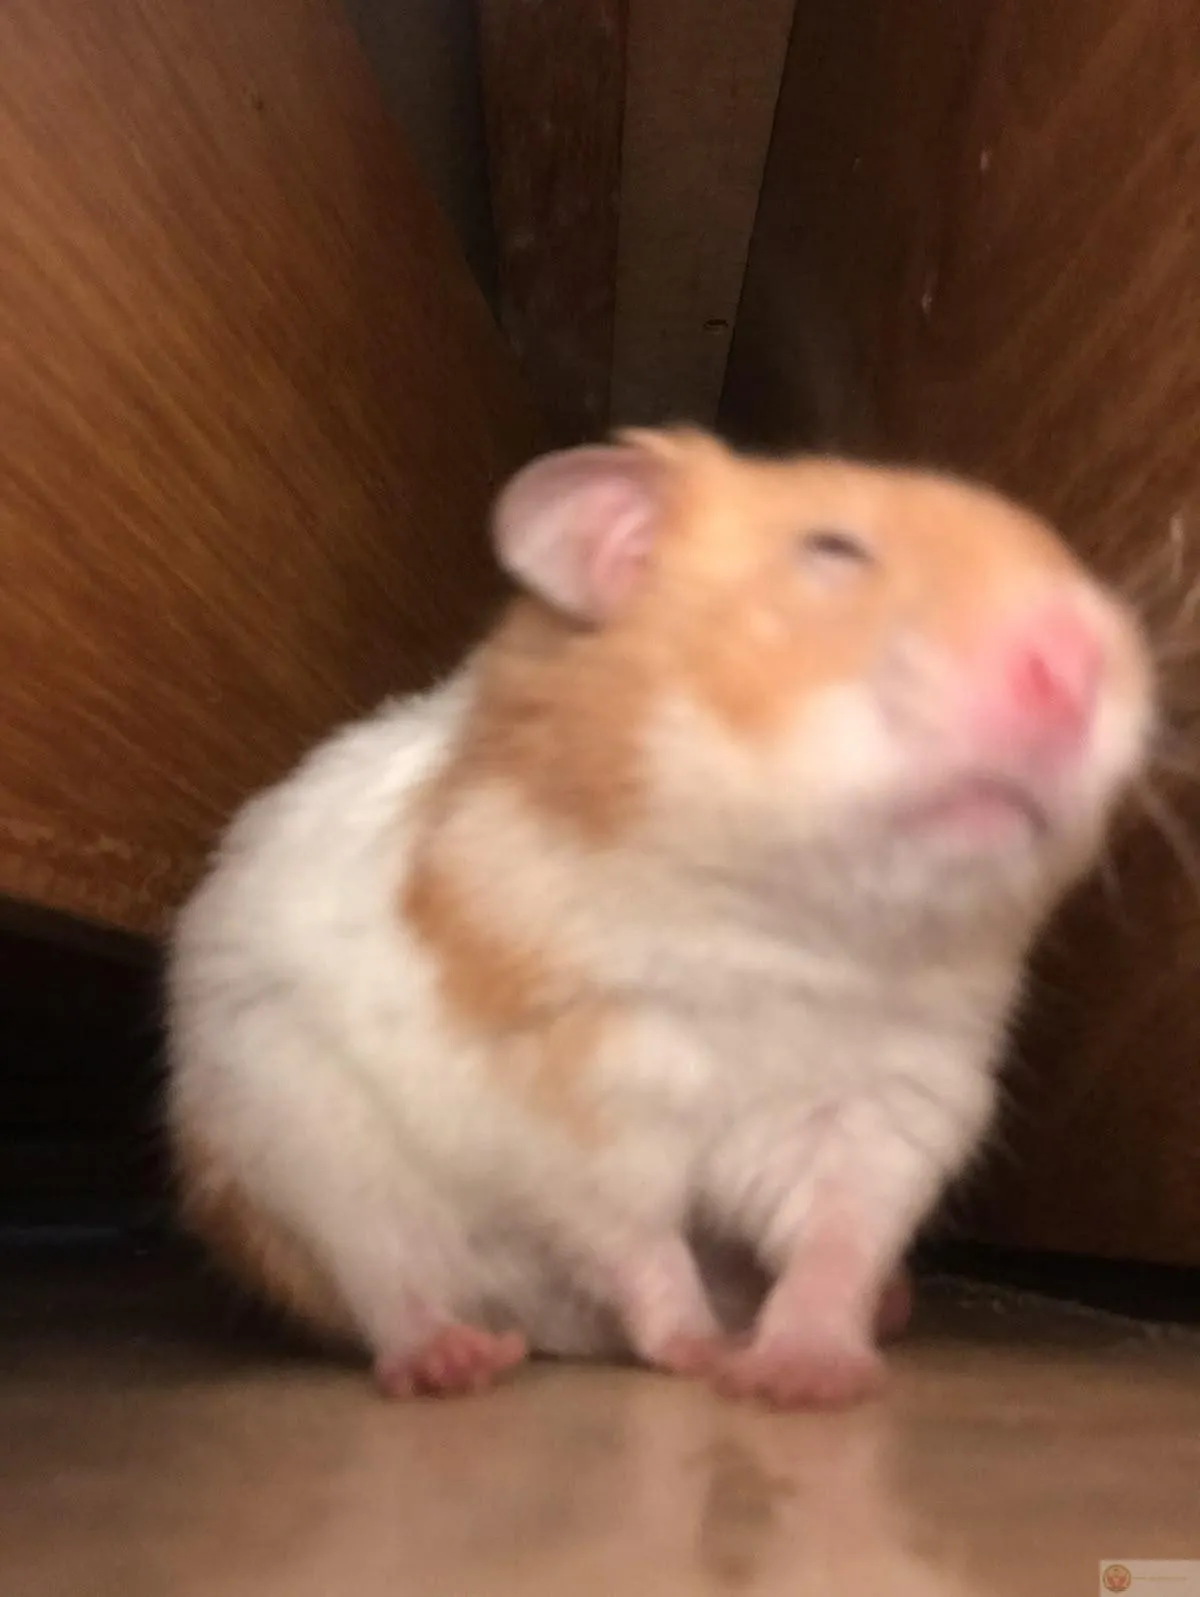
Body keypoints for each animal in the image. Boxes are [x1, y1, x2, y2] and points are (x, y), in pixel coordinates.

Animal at [166, 427, 1153, 1407]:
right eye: (832, 549)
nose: (1078, 663)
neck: (784, 929)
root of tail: (538, 1323)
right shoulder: (571, 1113)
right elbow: (640, 1247)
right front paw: (705, 1353)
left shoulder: (884, 1109)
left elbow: (836, 1246)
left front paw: (803, 1375)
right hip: (301, 1150)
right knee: (390, 1282)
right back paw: (461, 1360)